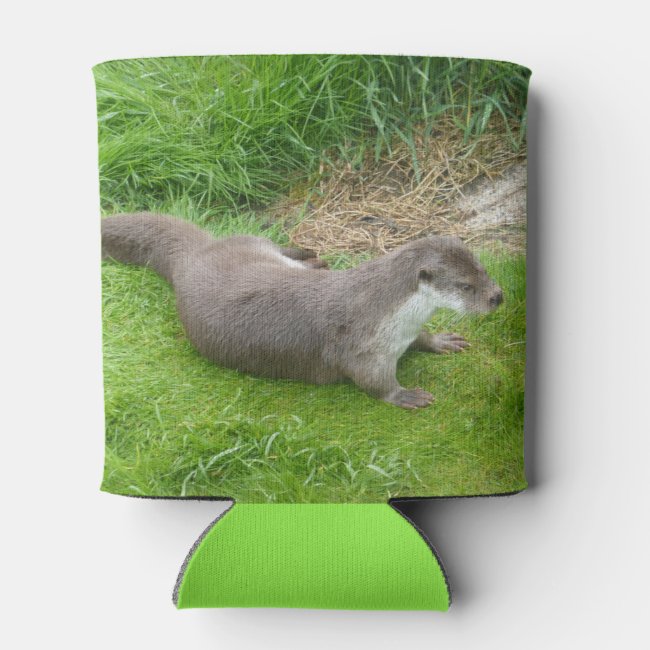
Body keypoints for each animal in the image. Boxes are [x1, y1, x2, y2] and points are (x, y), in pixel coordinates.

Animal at [101, 213, 503, 409]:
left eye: (483, 269)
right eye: (465, 286)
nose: (497, 297)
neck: (391, 314)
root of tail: (193, 258)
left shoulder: (405, 331)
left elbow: (422, 337)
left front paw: (440, 341)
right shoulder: (362, 348)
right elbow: (373, 382)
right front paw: (404, 395)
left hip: (251, 246)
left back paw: (312, 258)